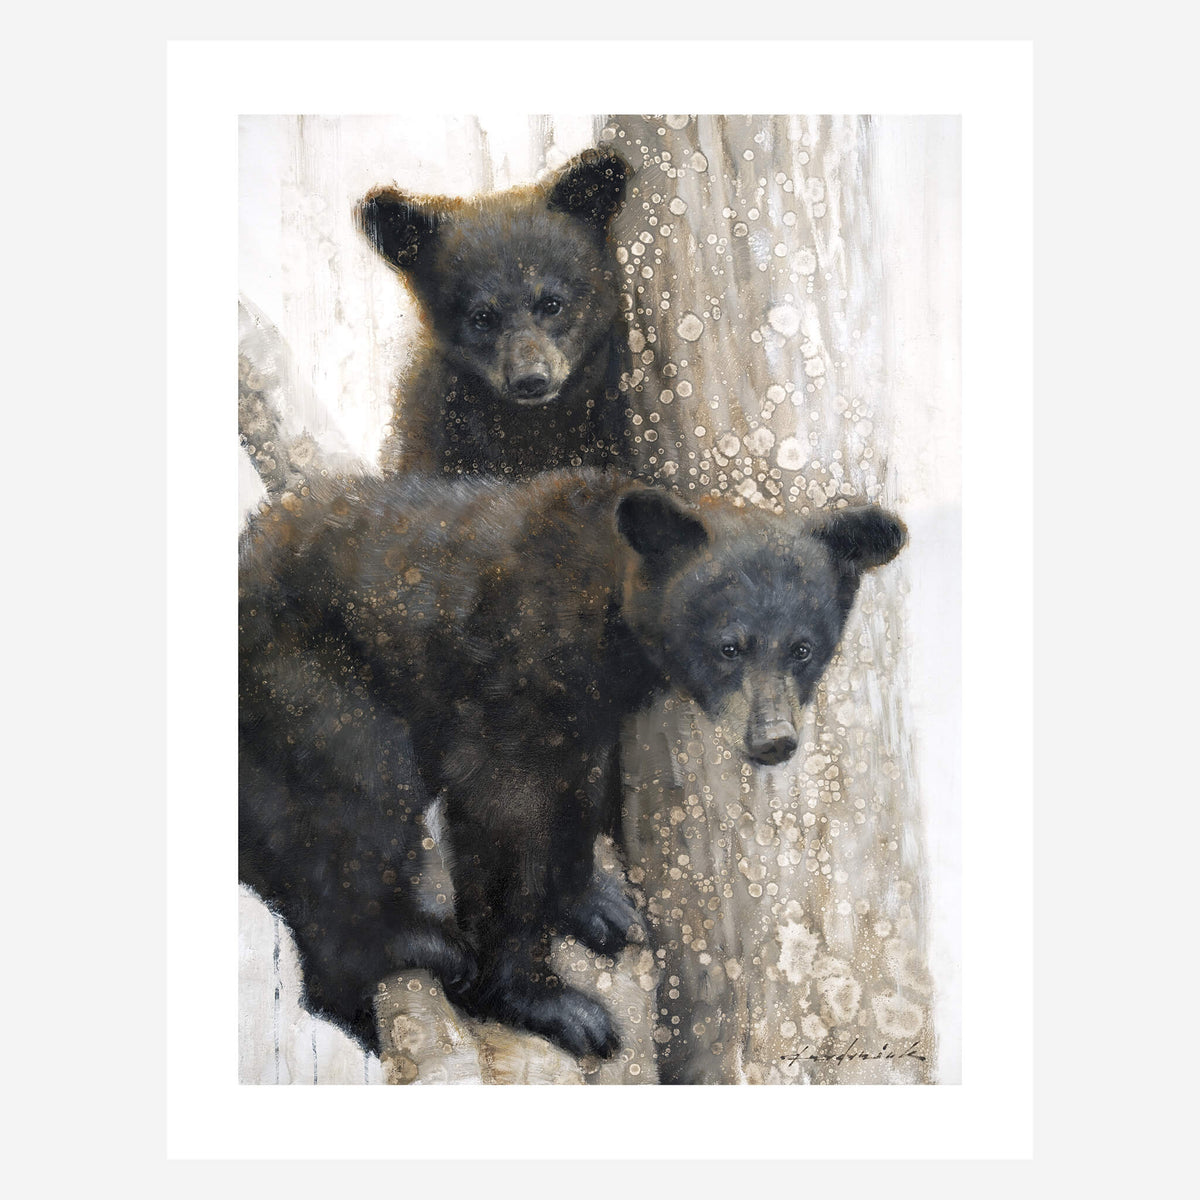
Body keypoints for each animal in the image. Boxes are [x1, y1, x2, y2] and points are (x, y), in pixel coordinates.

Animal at [239, 470, 906, 1058]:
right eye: (729, 646)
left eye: (803, 648)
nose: (773, 740)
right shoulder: (508, 684)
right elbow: (503, 816)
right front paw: (551, 1004)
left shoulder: (585, 715)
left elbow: (576, 788)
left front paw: (598, 904)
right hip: (308, 685)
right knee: (357, 799)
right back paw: (409, 944)